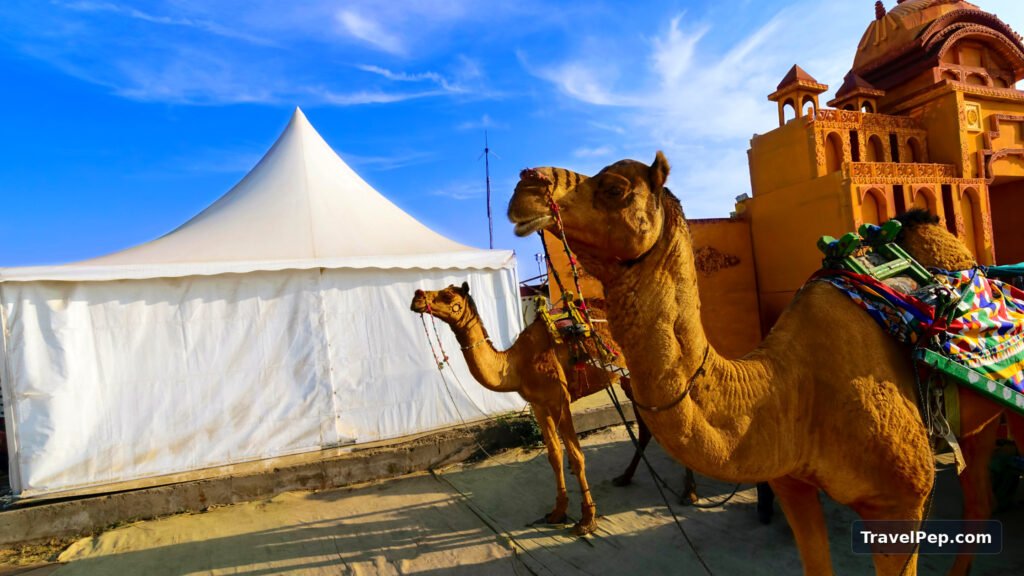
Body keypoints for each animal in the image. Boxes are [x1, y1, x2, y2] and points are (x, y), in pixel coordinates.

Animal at [410, 282, 697, 536]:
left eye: (448, 295)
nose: (417, 296)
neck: (516, 364)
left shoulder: (560, 399)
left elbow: (576, 457)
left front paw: (587, 520)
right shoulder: (540, 405)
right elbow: (554, 456)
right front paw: (557, 513)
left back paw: (689, 492)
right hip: (630, 379)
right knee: (647, 423)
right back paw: (625, 477)